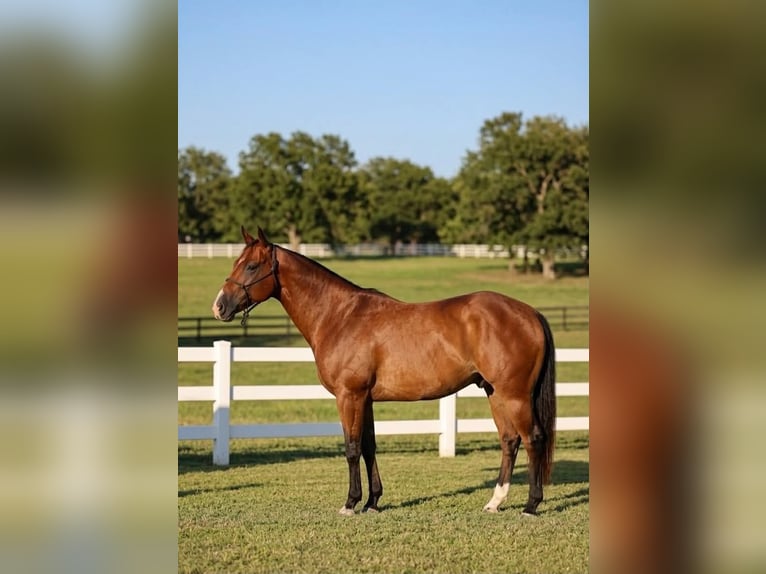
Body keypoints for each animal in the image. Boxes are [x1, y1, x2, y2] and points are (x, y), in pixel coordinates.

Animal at [212, 226, 556, 516]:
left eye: (251, 266)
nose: (219, 306)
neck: (339, 316)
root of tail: (530, 313)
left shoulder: (349, 396)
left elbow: (351, 448)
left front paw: (350, 503)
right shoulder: (365, 399)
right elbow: (368, 447)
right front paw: (372, 502)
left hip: (515, 395)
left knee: (533, 438)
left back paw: (531, 505)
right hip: (495, 392)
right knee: (509, 440)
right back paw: (495, 502)